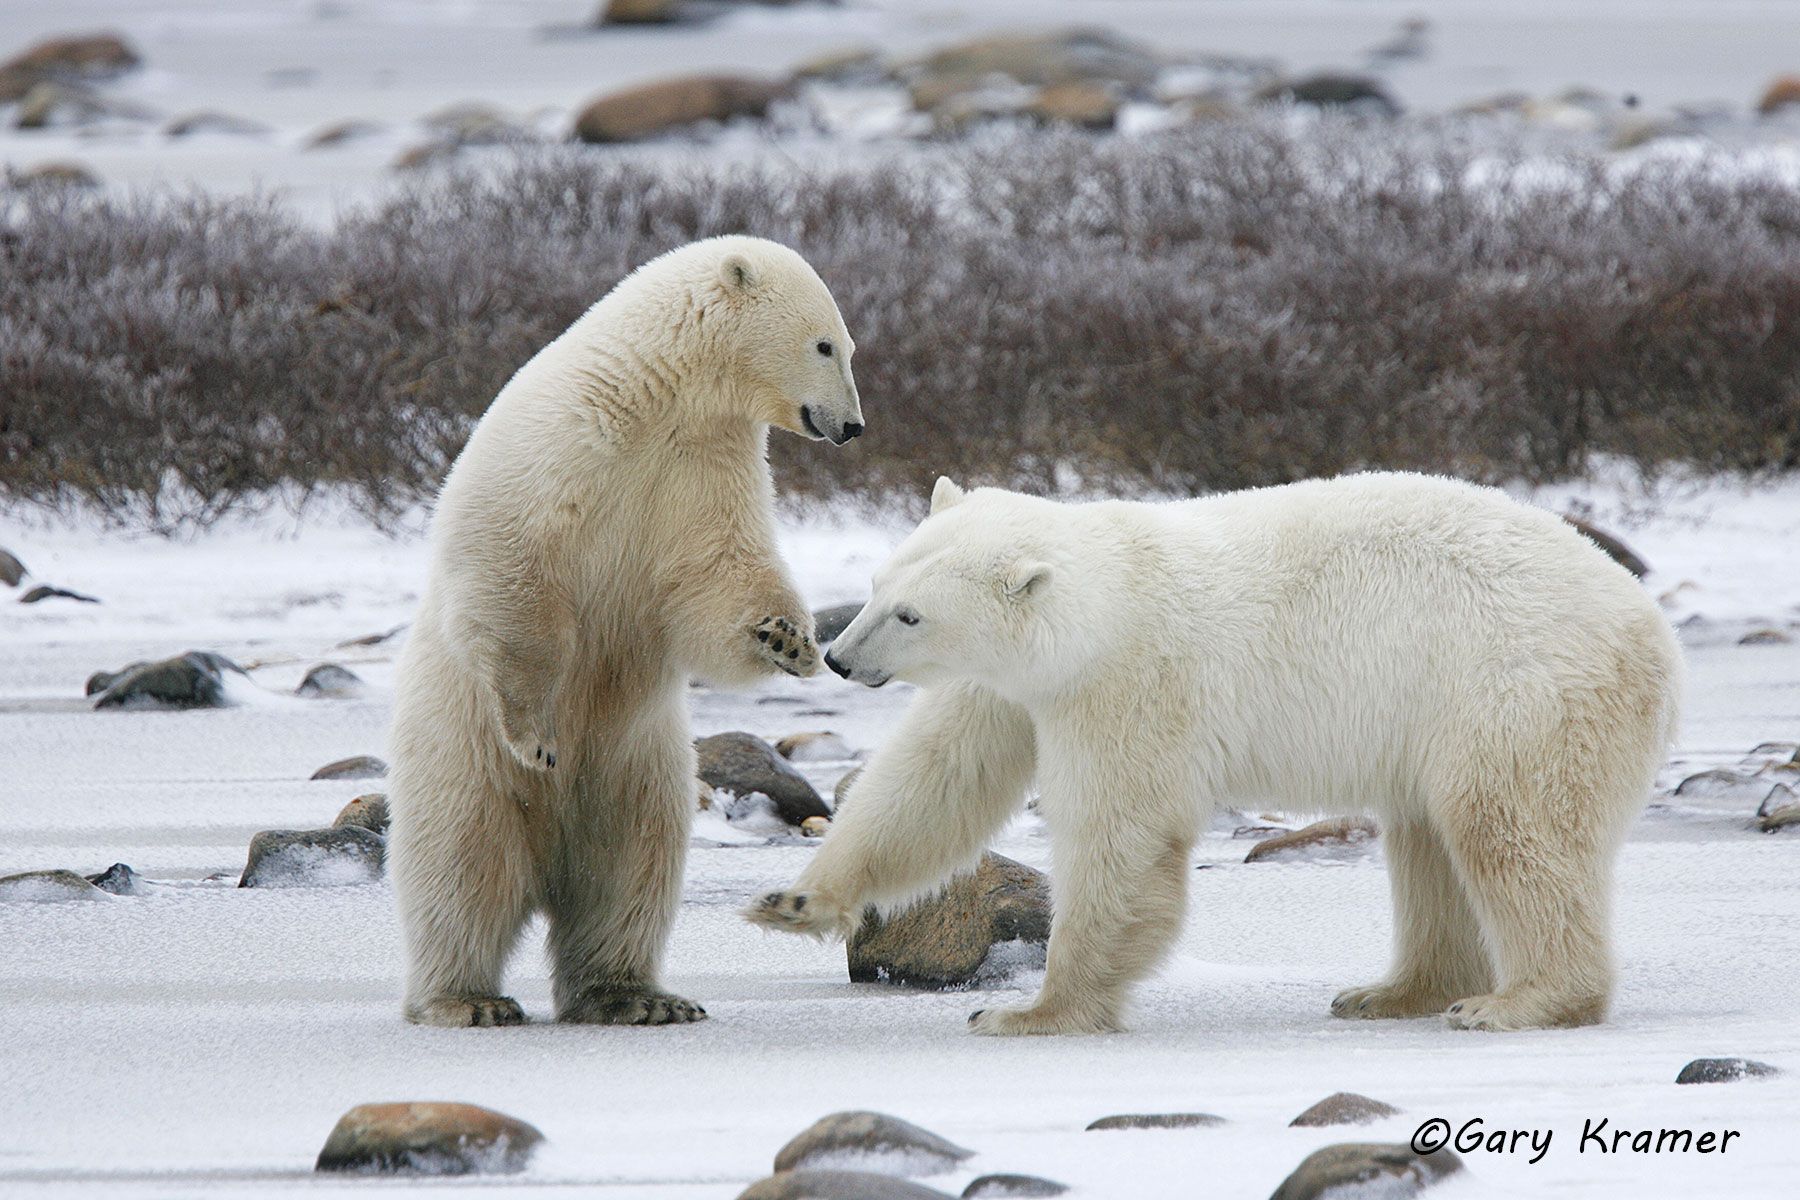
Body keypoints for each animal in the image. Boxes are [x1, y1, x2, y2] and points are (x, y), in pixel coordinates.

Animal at [389, 236, 863, 1028]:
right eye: (825, 344)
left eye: (848, 345)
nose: (854, 426)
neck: (655, 399)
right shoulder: (563, 448)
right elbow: (512, 574)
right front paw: (539, 738)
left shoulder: (704, 468)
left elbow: (715, 576)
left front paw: (788, 639)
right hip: (460, 751)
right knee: (462, 865)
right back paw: (466, 998)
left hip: (642, 767)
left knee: (631, 872)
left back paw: (634, 996)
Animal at [748, 472, 1681, 1035]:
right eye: (877, 588)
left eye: (912, 614)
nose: (839, 658)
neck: (1106, 605)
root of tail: (1651, 627)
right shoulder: (1015, 689)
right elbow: (938, 776)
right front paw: (794, 902)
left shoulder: (1131, 685)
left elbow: (1119, 836)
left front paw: (1029, 1013)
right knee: (1426, 838)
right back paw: (1390, 991)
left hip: (1511, 686)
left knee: (1508, 828)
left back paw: (1513, 1001)